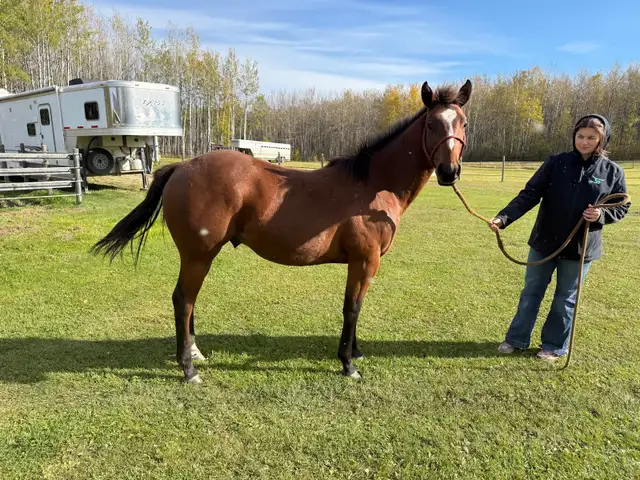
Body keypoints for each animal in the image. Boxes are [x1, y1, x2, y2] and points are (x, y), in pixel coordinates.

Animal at [91, 79, 472, 383]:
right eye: (432, 124)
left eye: (463, 123)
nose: (449, 172)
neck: (372, 186)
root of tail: (184, 166)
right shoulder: (364, 261)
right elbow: (352, 308)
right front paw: (348, 364)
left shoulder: (362, 264)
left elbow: (356, 307)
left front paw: (356, 352)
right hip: (198, 256)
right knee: (183, 300)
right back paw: (189, 369)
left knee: (187, 300)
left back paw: (195, 353)